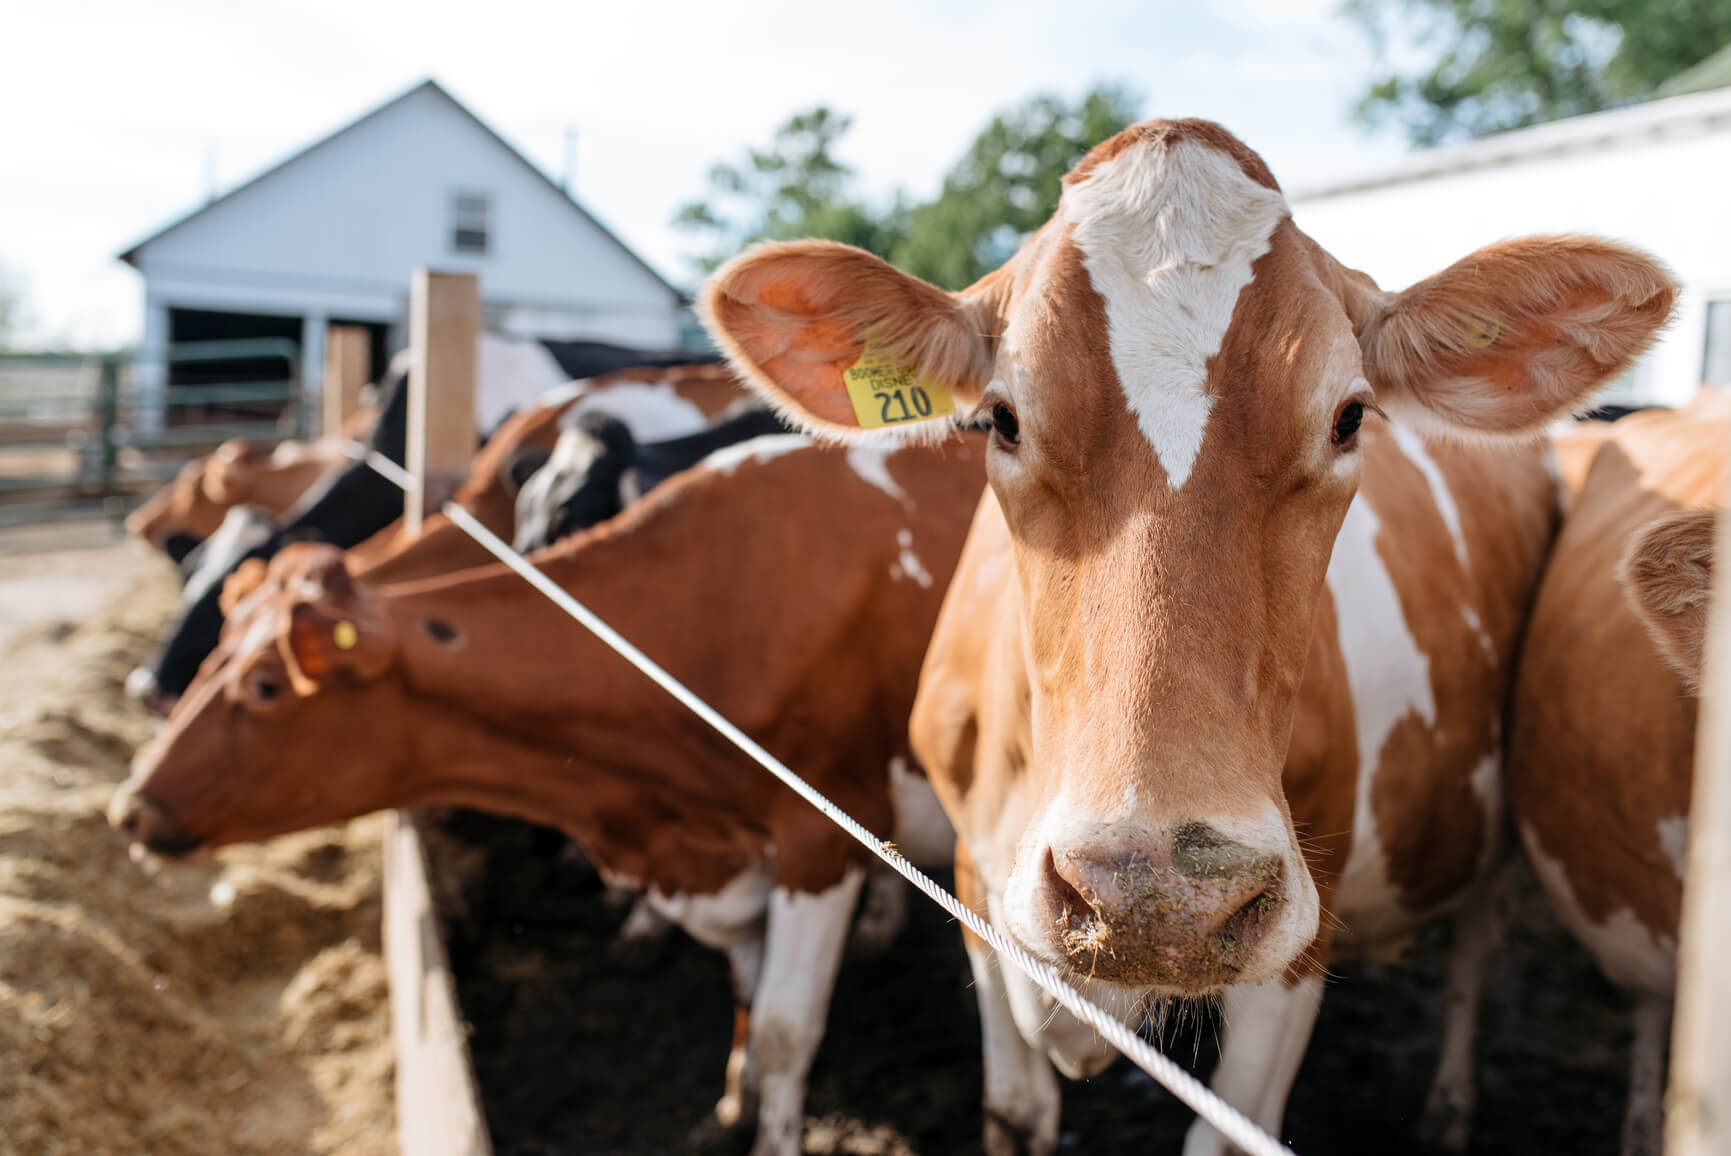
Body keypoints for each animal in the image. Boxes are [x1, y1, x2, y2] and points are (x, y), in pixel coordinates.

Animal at [115, 432, 990, 1156]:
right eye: (221, 651)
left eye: (265, 686)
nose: (130, 805)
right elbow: (745, 990)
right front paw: (728, 1107)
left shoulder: (823, 839)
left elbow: (784, 1028)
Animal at [702, 115, 1675, 1149]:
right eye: (1001, 418)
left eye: (1347, 417)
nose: (1153, 896)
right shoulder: (974, 884)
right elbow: (1012, 1108)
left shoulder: (1299, 936)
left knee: (1476, 946)